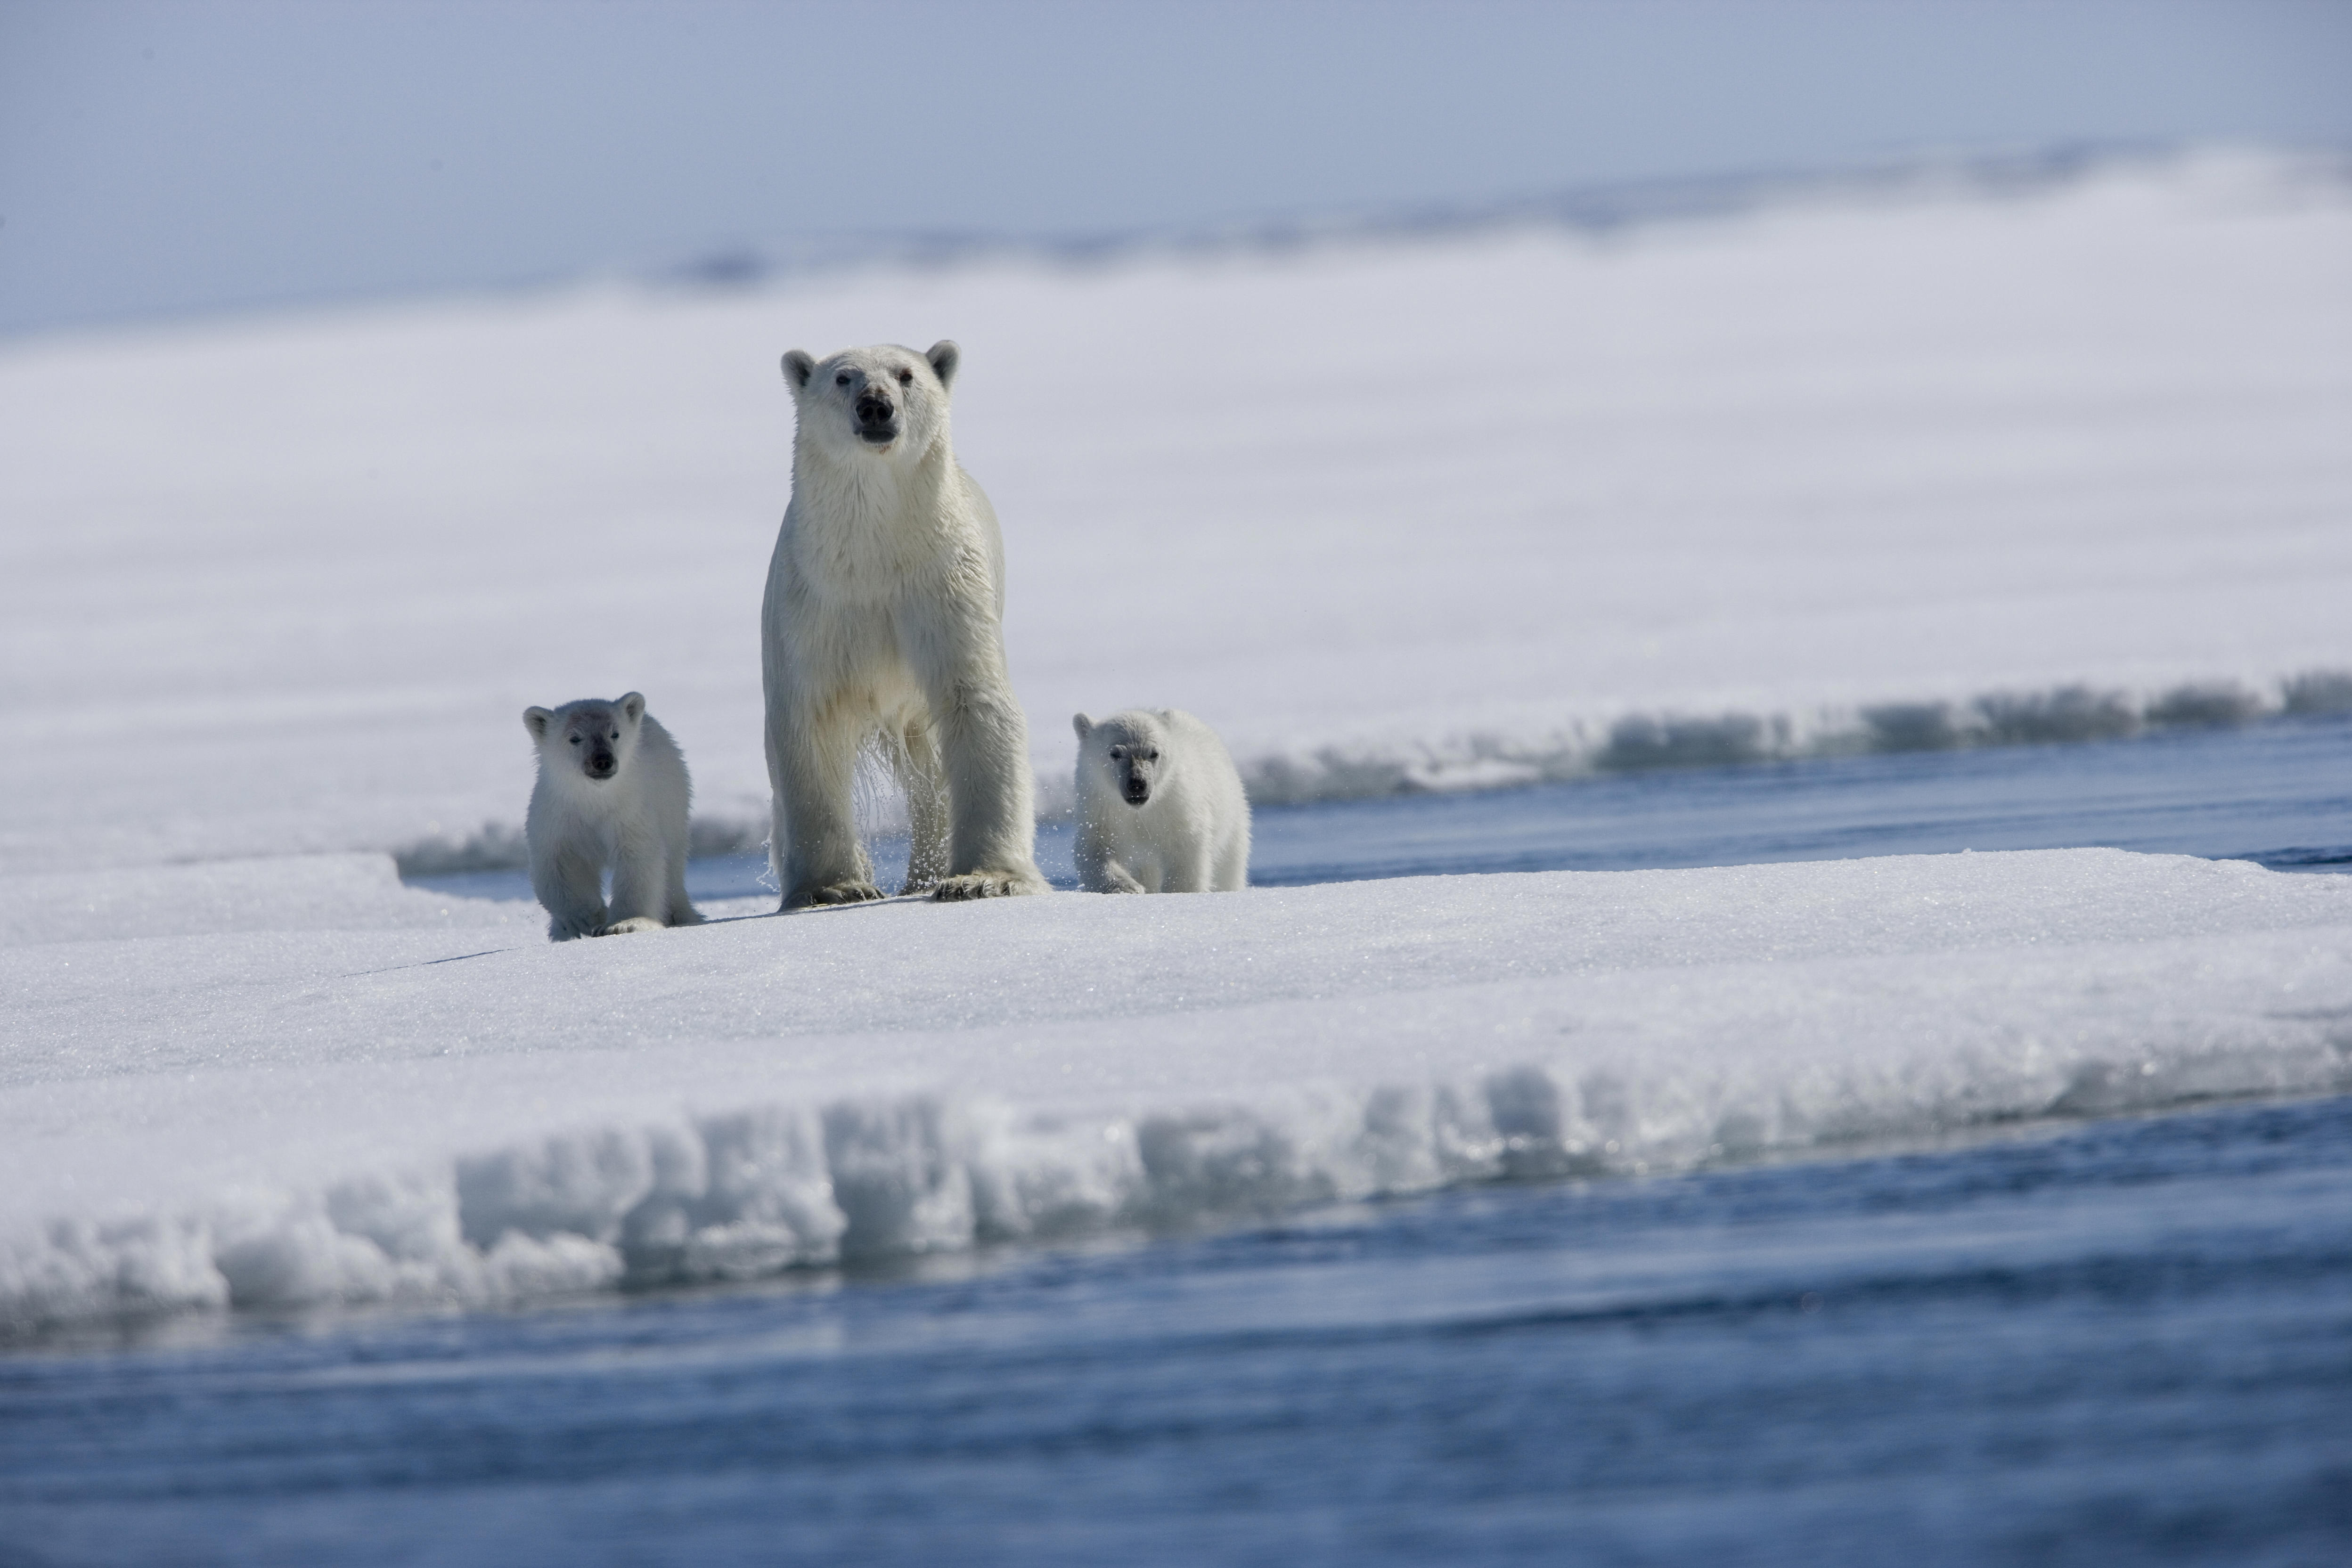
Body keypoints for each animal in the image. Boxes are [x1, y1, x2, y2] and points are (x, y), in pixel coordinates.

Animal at [531, 695, 705, 945]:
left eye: (615, 734)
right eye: (574, 738)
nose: (602, 760)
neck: (595, 799)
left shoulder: (630, 812)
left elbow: (637, 859)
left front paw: (624, 924)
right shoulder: (557, 816)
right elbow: (561, 864)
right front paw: (588, 919)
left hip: (673, 803)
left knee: (673, 863)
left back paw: (678, 914)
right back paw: (561, 931)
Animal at [762, 341, 1049, 907]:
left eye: (906, 375)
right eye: (843, 378)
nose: (876, 406)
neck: (875, 554)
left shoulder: (943, 586)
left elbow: (976, 701)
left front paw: (983, 878)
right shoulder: (813, 605)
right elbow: (810, 720)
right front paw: (835, 887)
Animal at [1072, 710, 1251, 893]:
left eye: (1154, 753)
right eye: (1115, 754)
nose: (1137, 784)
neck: (1140, 810)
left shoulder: (1177, 805)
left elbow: (1185, 851)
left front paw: (1176, 891)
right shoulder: (1102, 808)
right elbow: (1095, 850)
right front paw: (1130, 888)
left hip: (1232, 820)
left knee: (1229, 868)